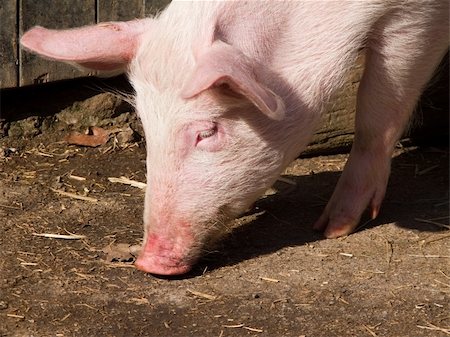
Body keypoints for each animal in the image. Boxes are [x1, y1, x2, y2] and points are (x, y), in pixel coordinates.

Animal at [22, 1, 450, 274]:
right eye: (146, 124)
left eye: (206, 131)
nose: (148, 263)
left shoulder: (417, 16)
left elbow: (379, 105)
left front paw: (333, 229)